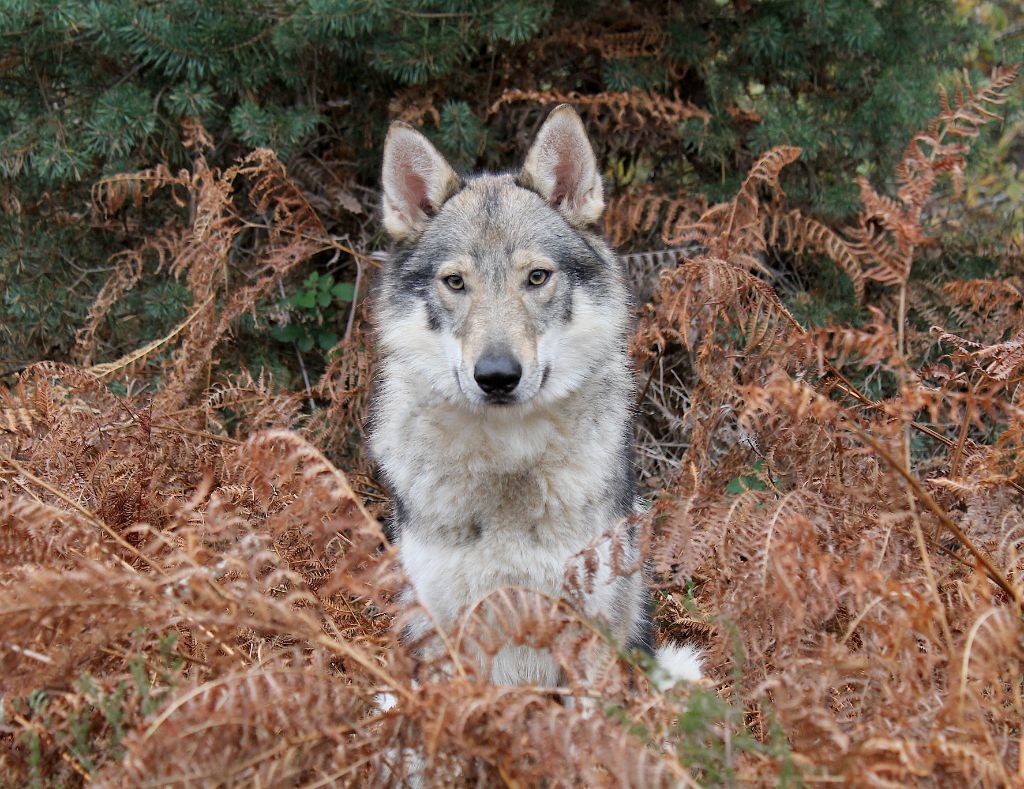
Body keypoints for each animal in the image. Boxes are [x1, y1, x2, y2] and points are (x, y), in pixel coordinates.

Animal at [368, 104, 701, 691]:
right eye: (455, 282)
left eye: (537, 277)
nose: (497, 375)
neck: (506, 460)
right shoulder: (447, 632)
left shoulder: (588, 631)